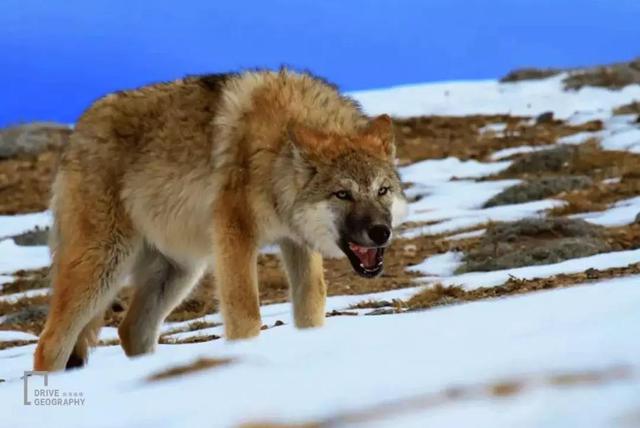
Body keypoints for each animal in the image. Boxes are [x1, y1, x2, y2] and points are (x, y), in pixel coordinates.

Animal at [33, 69, 404, 372]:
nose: (380, 232)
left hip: (180, 271)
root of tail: (77, 132)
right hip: (105, 265)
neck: (274, 154)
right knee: (49, 344)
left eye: (382, 190)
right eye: (343, 194)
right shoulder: (235, 235)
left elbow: (312, 306)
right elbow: (246, 314)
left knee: (130, 330)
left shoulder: (296, 241)